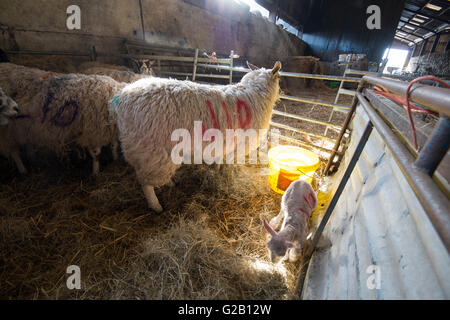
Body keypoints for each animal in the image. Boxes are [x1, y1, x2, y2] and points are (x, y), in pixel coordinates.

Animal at [112, 62, 282, 212]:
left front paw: (217, 172)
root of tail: (122, 97)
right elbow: (229, 165)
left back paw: (170, 183)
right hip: (152, 150)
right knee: (146, 183)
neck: (255, 95)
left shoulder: (223, 144)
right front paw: (227, 179)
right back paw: (156, 205)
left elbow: (219, 161)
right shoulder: (236, 146)